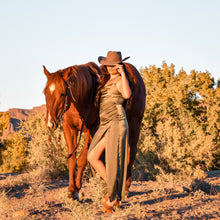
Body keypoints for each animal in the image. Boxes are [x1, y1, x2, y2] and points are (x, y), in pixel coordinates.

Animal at [43, 61, 146, 199]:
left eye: (62, 93)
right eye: (45, 93)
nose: (50, 124)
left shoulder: (93, 130)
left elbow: (82, 159)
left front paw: (77, 188)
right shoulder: (69, 129)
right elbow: (72, 160)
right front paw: (71, 190)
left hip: (135, 123)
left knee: (131, 152)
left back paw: (125, 188)